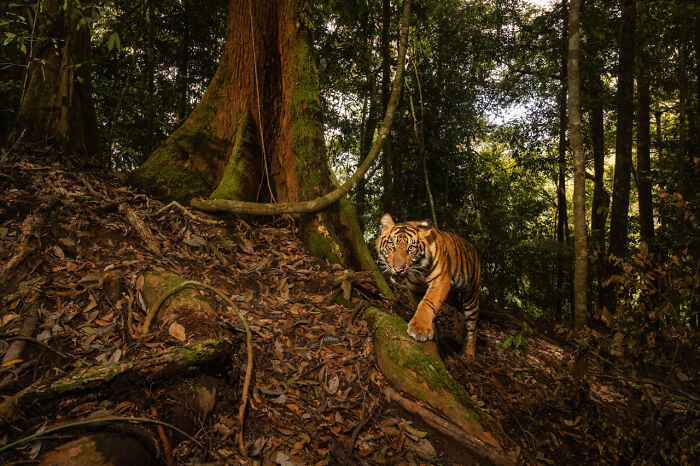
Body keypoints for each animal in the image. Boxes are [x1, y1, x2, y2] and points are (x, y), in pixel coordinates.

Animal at [375, 213, 481, 358]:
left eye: (411, 248)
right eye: (392, 245)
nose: (398, 269)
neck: (419, 270)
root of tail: (473, 247)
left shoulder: (441, 280)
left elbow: (428, 303)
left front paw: (419, 329)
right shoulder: (414, 287)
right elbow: (419, 304)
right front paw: (431, 329)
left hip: (470, 295)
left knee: (473, 326)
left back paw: (468, 352)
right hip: (453, 295)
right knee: (459, 312)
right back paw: (458, 334)